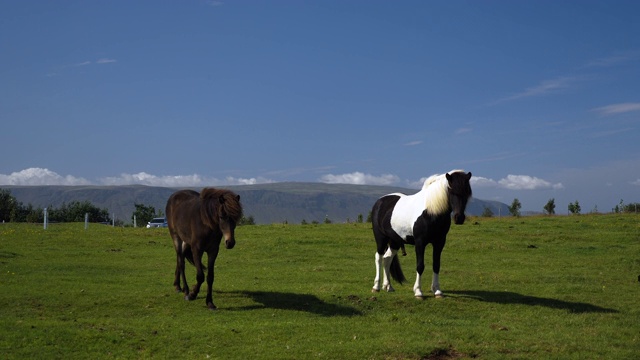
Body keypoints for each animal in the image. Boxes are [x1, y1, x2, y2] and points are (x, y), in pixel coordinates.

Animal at [372, 170, 472, 300]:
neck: (431, 211)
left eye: (467, 192)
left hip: (395, 241)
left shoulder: (439, 242)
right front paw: (418, 292)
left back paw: (388, 286)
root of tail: (380, 202)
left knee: (387, 258)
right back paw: (376, 287)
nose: (459, 218)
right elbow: (420, 266)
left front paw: (437, 291)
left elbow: (436, 265)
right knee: (378, 257)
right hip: (381, 239)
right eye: (451, 191)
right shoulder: (420, 242)